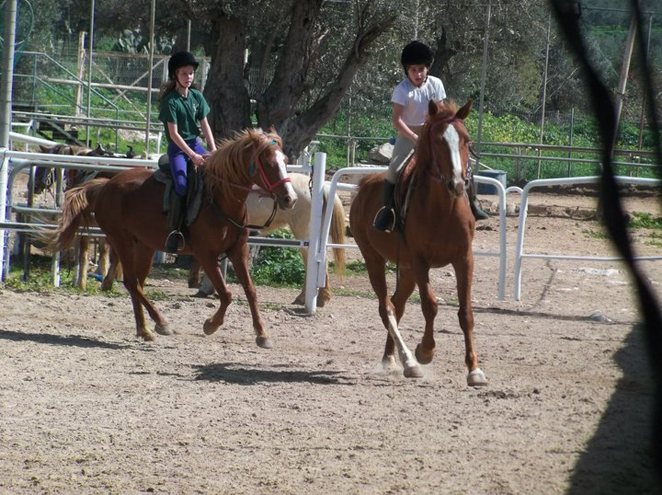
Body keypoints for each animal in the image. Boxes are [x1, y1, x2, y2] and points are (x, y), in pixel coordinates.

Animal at [46, 129, 296, 344]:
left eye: (285, 161)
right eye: (269, 164)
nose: (289, 199)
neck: (221, 199)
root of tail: (105, 185)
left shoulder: (238, 250)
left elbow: (251, 292)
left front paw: (262, 334)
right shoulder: (206, 255)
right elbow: (226, 294)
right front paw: (210, 325)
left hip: (144, 246)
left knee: (137, 285)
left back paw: (145, 329)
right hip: (121, 241)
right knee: (132, 283)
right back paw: (160, 323)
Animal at [352, 101, 488, 388]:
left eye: (466, 139)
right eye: (437, 141)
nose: (457, 183)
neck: (443, 210)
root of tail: (365, 184)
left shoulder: (464, 259)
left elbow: (466, 313)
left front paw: (474, 370)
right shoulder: (420, 260)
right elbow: (430, 305)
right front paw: (425, 351)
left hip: (407, 271)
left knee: (397, 305)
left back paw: (391, 358)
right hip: (374, 260)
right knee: (386, 308)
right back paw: (409, 361)